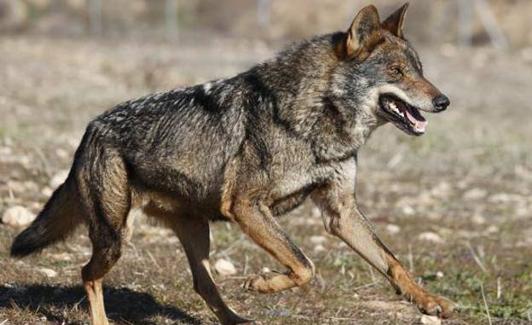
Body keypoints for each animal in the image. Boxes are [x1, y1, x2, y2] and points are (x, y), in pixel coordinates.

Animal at [10, 3, 454, 324]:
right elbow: (305, 265)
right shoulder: (246, 206)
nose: (444, 101)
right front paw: (263, 284)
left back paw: (237, 320)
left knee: (202, 286)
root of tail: (91, 128)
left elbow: (392, 262)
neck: (317, 122)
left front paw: (428, 300)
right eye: (397, 72)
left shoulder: (340, 212)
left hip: (195, 234)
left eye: (420, 71)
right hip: (116, 238)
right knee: (87, 274)